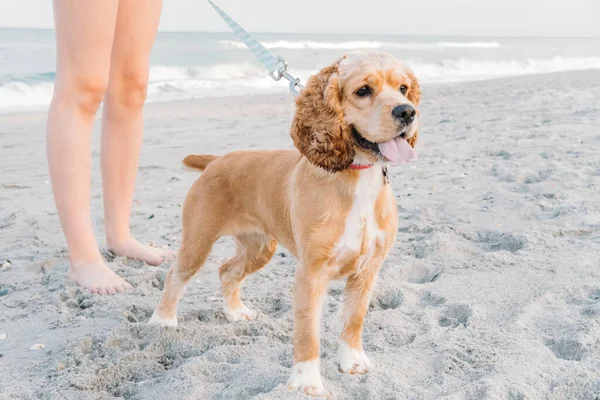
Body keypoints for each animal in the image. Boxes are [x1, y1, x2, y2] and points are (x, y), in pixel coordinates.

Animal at [150, 50, 422, 396]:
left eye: (403, 88)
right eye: (363, 90)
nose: (407, 111)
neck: (357, 175)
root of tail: (216, 161)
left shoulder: (367, 270)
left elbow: (354, 319)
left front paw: (353, 361)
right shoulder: (311, 273)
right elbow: (308, 331)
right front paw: (307, 381)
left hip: (259, 247)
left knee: (227, 270)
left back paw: (235, 312)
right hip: (198, 240)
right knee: (176, 275)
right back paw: (163, 320)